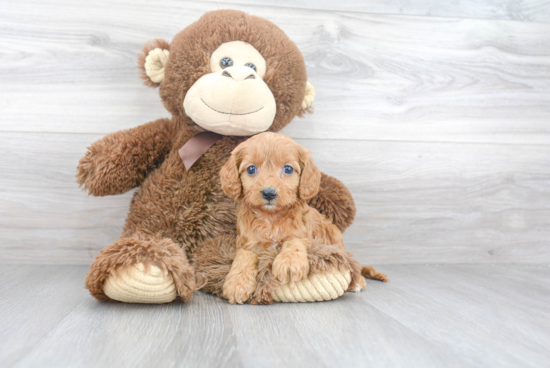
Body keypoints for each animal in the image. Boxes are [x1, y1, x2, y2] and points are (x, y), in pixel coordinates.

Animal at [220, 132, 388, 304]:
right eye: (251, 169)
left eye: (288, 169)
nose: (269, 193)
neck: (271, 217)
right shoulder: (247, 242)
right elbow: (244, 256)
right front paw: (237, 283)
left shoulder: (303, 235)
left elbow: (294, 242)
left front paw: (289, 262)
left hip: (335, 235)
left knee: (351, 264)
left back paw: (358, 281)